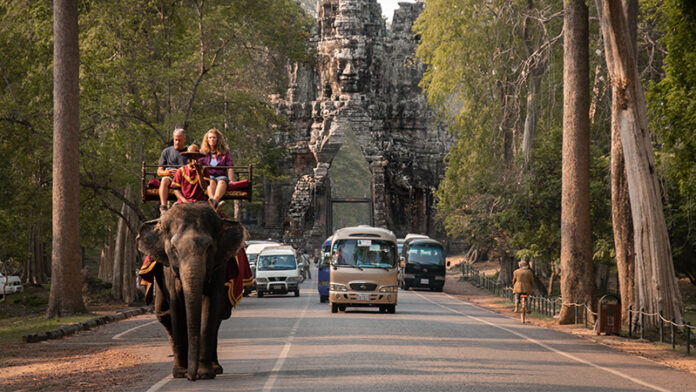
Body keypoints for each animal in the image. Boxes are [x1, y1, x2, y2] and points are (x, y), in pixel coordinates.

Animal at [135, 202, 245, 380]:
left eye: (209, 247)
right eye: (173, 248)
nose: (191, 377)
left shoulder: (219, 266)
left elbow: (211, 306)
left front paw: (205, 374)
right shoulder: (168, 270)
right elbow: (176, 307)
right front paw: (180, 373)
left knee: (220, 314)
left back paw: (215, 368)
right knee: (163, 314)